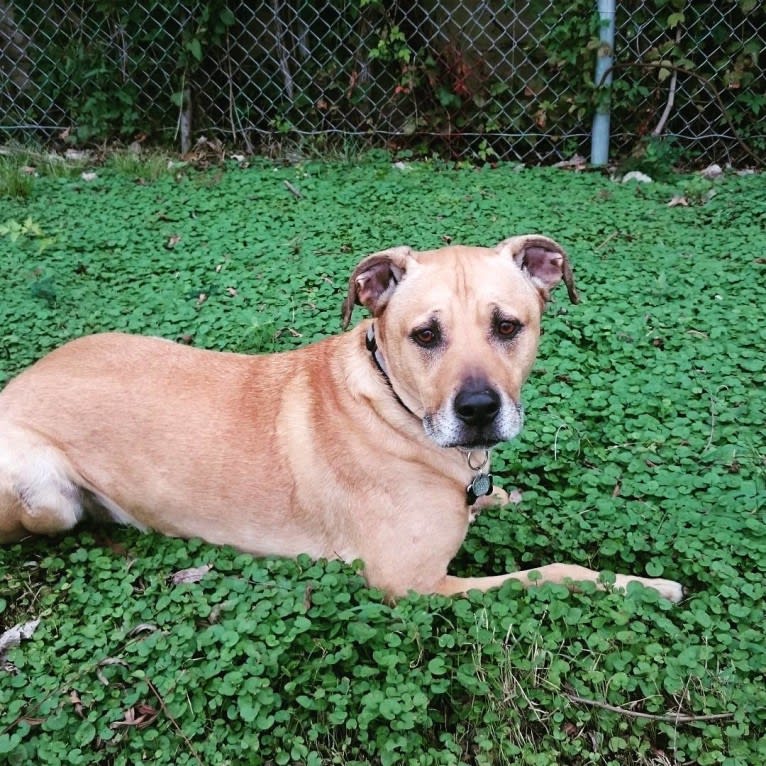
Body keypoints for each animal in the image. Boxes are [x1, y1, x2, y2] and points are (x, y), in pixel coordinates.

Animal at [0, 237, 684, 604]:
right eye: (425, 335)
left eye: (508, 326)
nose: (479, 412)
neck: (395, 411)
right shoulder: (415, 584)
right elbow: (552, 573)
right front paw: (644, 585)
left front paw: (502, 497)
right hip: (46, 492)